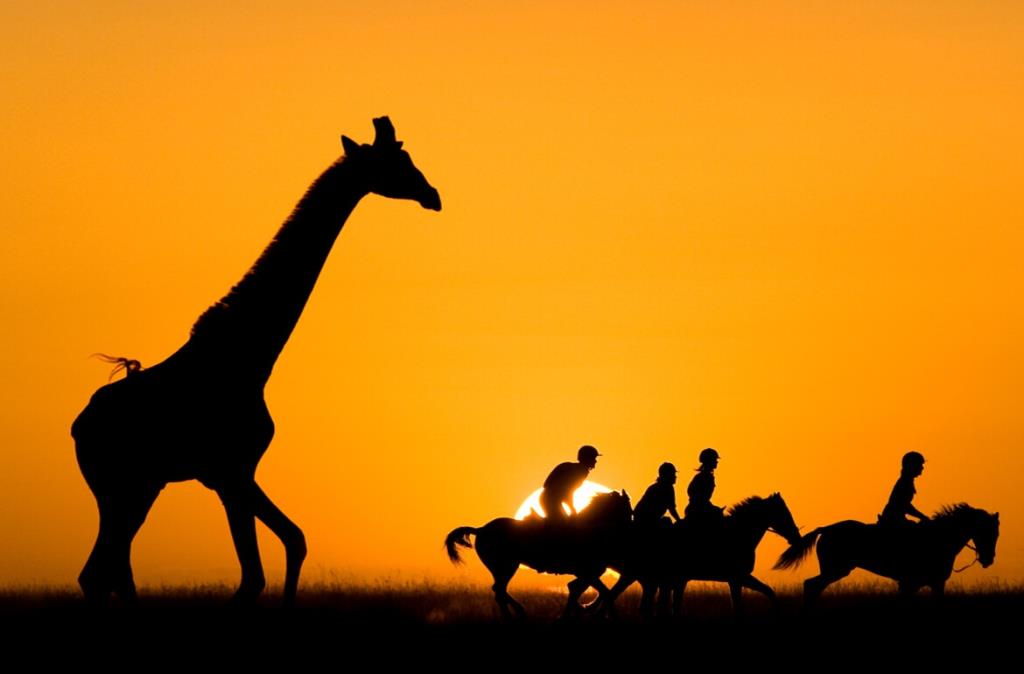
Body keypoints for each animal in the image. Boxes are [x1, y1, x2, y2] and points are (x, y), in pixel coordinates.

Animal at [72, 117, 441, 605]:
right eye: (398, 160)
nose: (433, 195)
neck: (248, 356)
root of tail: (79, 426)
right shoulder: (230, 472)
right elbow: (254, 576)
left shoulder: (234, 474)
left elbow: (292, 542)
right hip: (122, 488)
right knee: (99, 573)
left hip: (138, 489)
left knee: (108, 571)